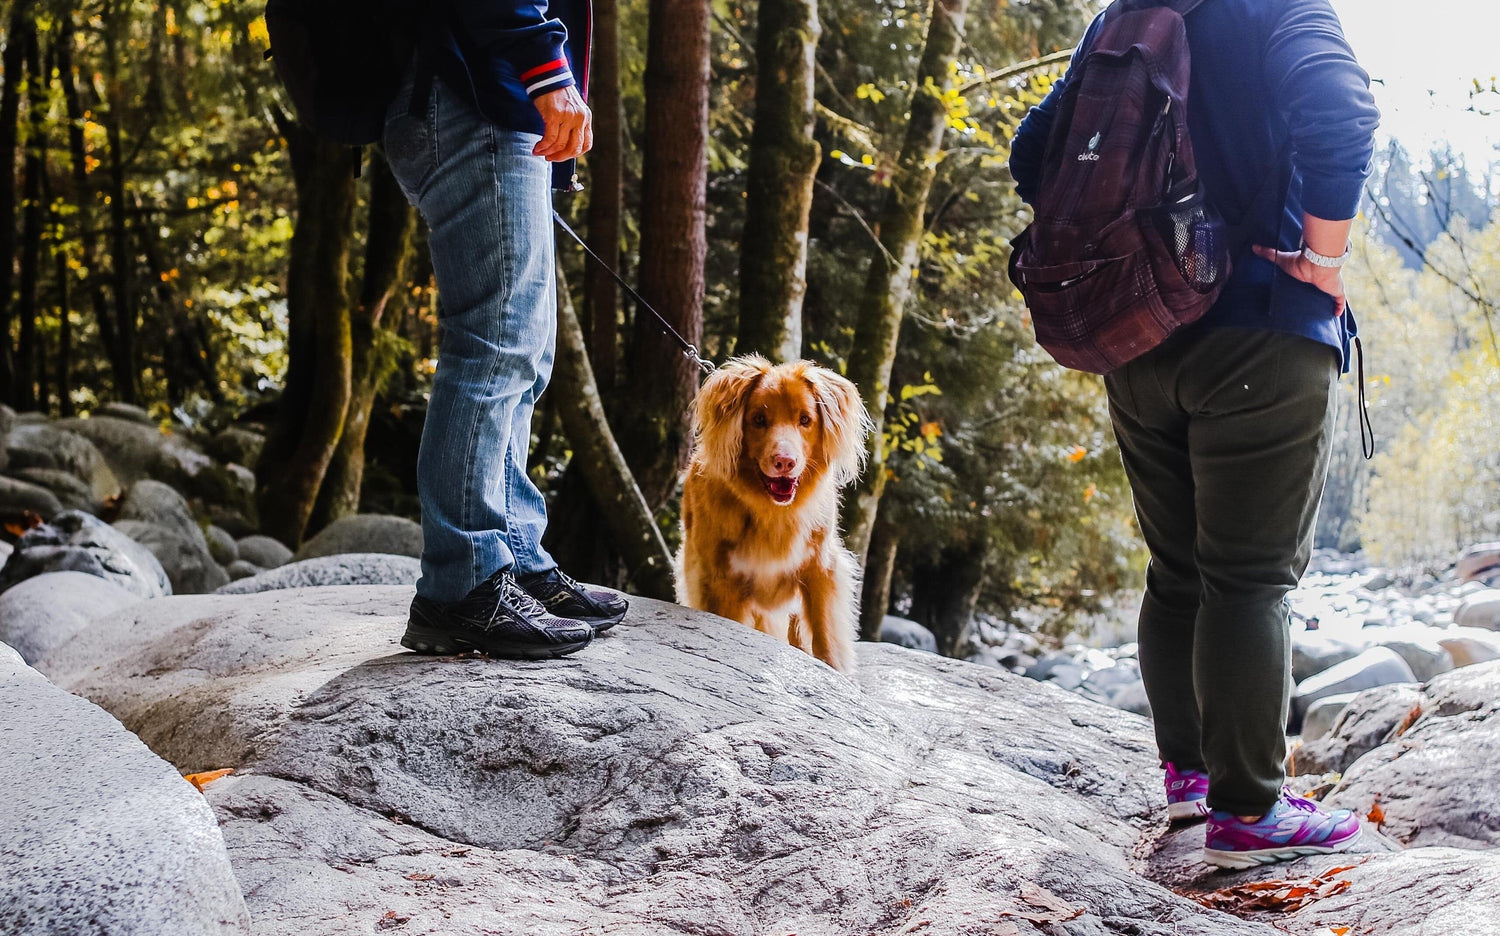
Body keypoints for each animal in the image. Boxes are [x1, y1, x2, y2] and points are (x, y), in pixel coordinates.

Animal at [675, 352, 876, 672]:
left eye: (805, 420)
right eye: (759, 419)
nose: (785, 461)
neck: (772, 511)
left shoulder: (820, 566)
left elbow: (825, 631)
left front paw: (834, 670)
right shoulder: (723, 581)